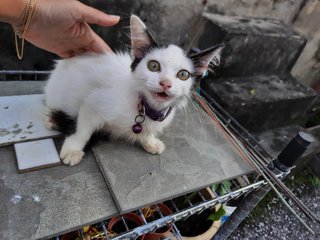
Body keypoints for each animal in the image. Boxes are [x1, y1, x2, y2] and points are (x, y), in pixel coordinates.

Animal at [44, 15, 222, 165]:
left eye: (183, 74)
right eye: (153, 66)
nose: (165, 83)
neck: (145, 107)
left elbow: (148, 132)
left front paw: (150, 141)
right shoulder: (94, 103)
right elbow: (82, 129)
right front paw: (73, 149)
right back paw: (52, 120)